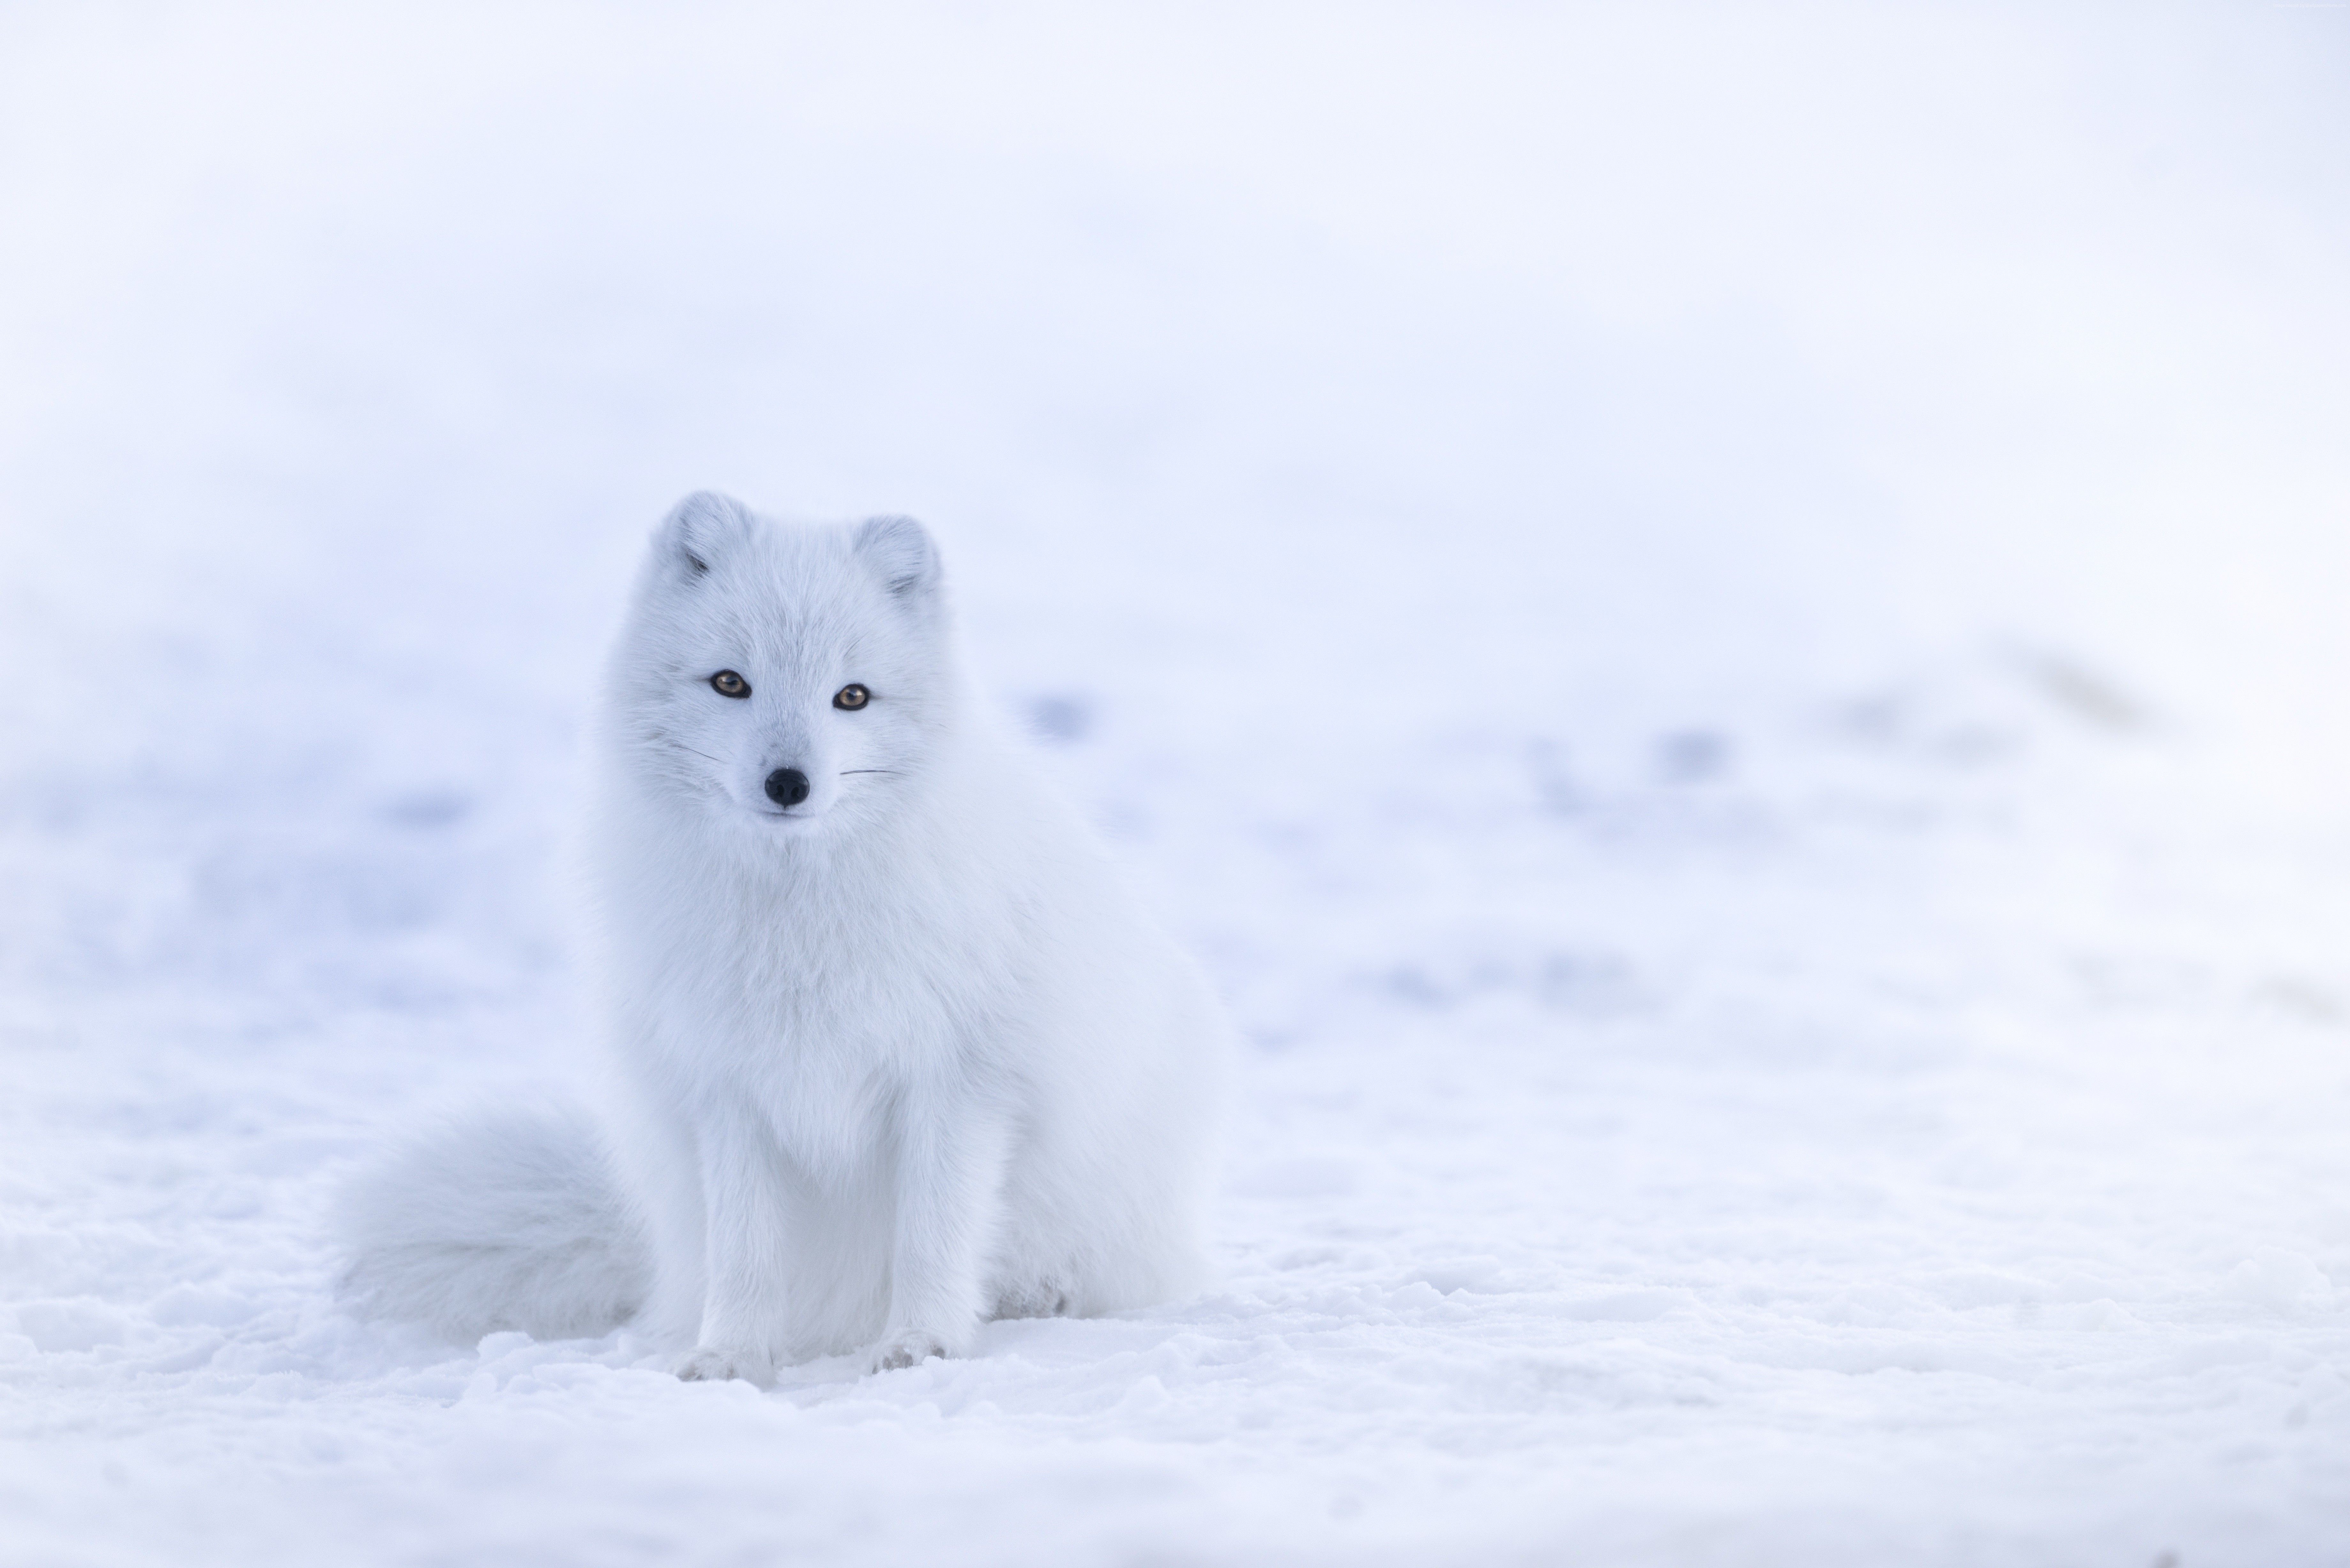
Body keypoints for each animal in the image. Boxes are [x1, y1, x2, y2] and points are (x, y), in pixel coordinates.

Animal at [337, 493, 1229, 1382]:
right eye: (731, 682)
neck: (797, 920)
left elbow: (932, 1234)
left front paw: (922, 1342)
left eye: (852, 696)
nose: (788, 783)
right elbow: (745, 1252)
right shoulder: (728, 1088)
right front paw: (730, 1356)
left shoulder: (959, 1081)